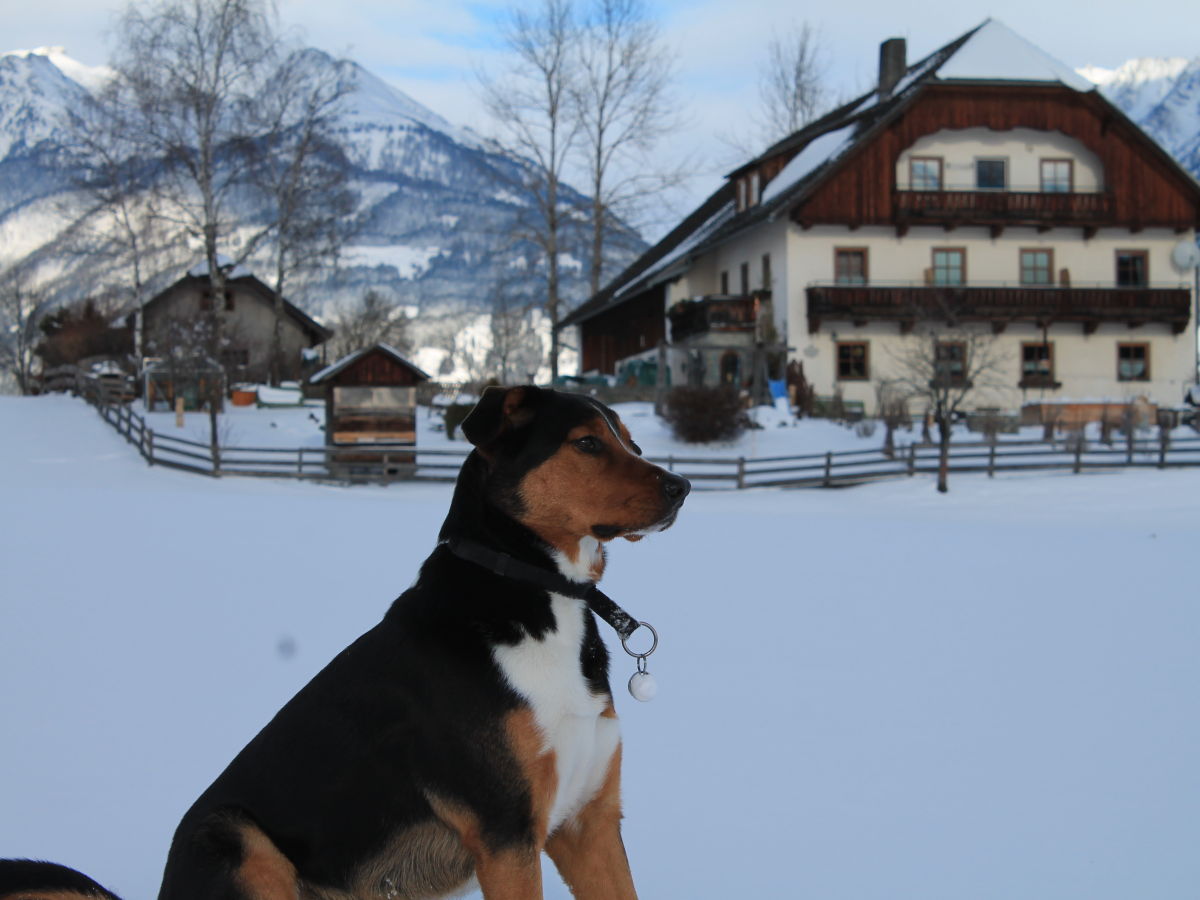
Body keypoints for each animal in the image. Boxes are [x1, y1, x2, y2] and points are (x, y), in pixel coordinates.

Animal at [4, 388, 691, 900]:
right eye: (587, 443)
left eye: (630, 441)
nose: (681, 487)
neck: (537, 594)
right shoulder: (507, 834)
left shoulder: (588, 822)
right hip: (238, 841)